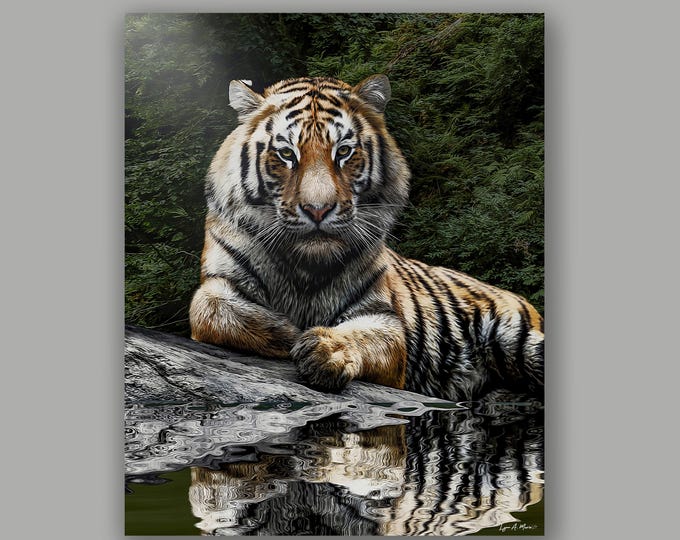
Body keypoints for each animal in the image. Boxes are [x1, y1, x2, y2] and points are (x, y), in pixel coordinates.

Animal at [188, 74, 544, 401]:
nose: (318, 210)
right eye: (287, 154)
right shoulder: (217, 284)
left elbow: (364, 336)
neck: (306, 265)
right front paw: (286, 332)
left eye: (344, 152)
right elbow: (211, 310)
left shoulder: (384, 318)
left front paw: (324, 349)